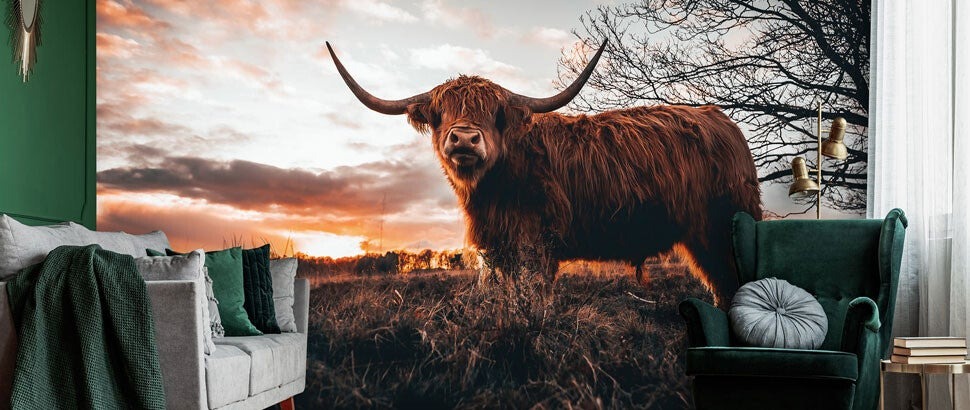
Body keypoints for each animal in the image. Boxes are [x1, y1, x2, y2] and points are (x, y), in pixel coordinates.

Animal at [328, 41, 760, 302]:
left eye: (496, 113)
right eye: (440, 113)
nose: (465, 139)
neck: (491, 190)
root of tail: (721, 119)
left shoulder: (535, 244)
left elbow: (531, 298)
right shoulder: (497, 249)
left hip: (722, 226)